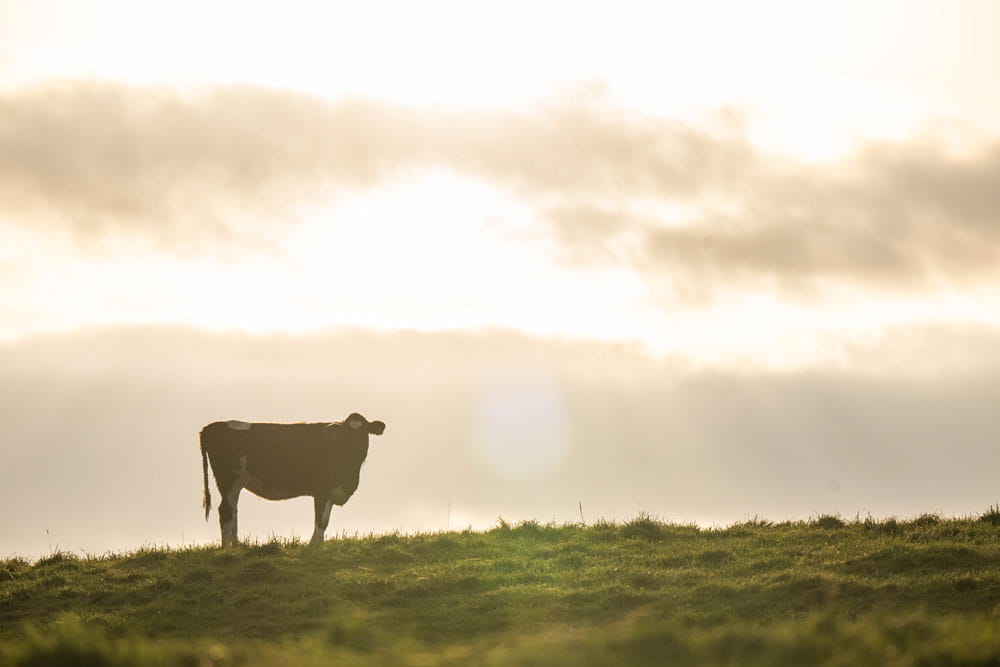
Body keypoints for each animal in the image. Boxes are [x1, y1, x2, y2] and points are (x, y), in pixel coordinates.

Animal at [200, 412, 386, 548]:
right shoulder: (322, 490)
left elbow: (326, 520)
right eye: (346, 433)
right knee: (226, 511)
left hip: (235, 484)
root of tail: (210, 427)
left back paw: (237, 545)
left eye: (364, 432)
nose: (356, 449)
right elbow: (320, 520)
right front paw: (314, 546)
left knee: (233, 511)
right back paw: (227, 549)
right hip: (229, 480)